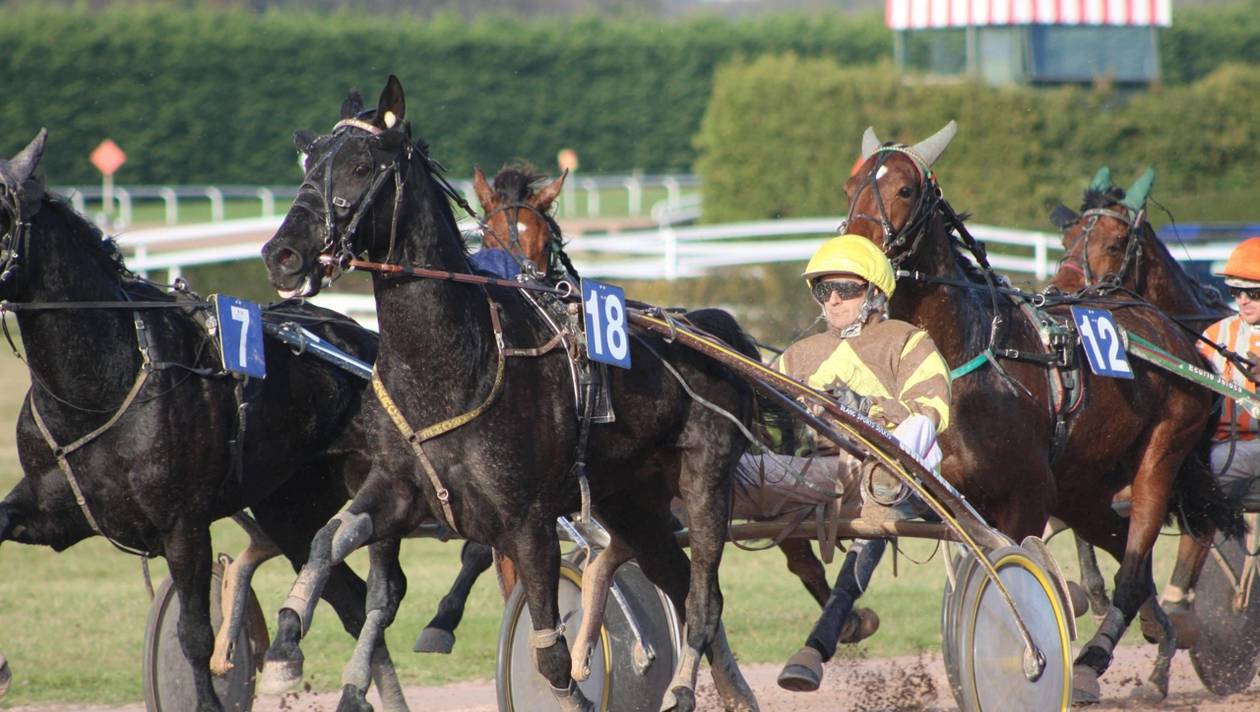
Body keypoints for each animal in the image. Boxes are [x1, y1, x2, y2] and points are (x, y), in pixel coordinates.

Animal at [0, 130, 405, 710]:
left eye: (1, 213)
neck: (97, 388)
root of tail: (369, 346)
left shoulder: (183, 526)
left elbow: (193, 634)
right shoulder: (55, 512)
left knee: (383, 594)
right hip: (292, 507)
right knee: (347, 594)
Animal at [260, 77, 761, 710]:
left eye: (358, 166)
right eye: (309, 162)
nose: (281, 254)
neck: (458, 365)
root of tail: (703, 328)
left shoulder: (528, 522)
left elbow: (549, 654)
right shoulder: (400, 487)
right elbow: (329, 538)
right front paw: (288, 641)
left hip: (703, 480)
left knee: (702, 600)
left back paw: (684, 690)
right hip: (631, 499)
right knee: (675, 580)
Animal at [826, 123, 1239, 700]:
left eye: (905, 190)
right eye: (850, 188)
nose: (848, 268)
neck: (963, 359)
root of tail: (1173, 333)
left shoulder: (1027, 496)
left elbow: (1011, 583)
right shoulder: (916, 486)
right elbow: (861, 560)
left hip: (1162, 450)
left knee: (1135, 563)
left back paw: (1094, 659)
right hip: (1084, 484)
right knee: (1122, 554)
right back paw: (1158, 636)